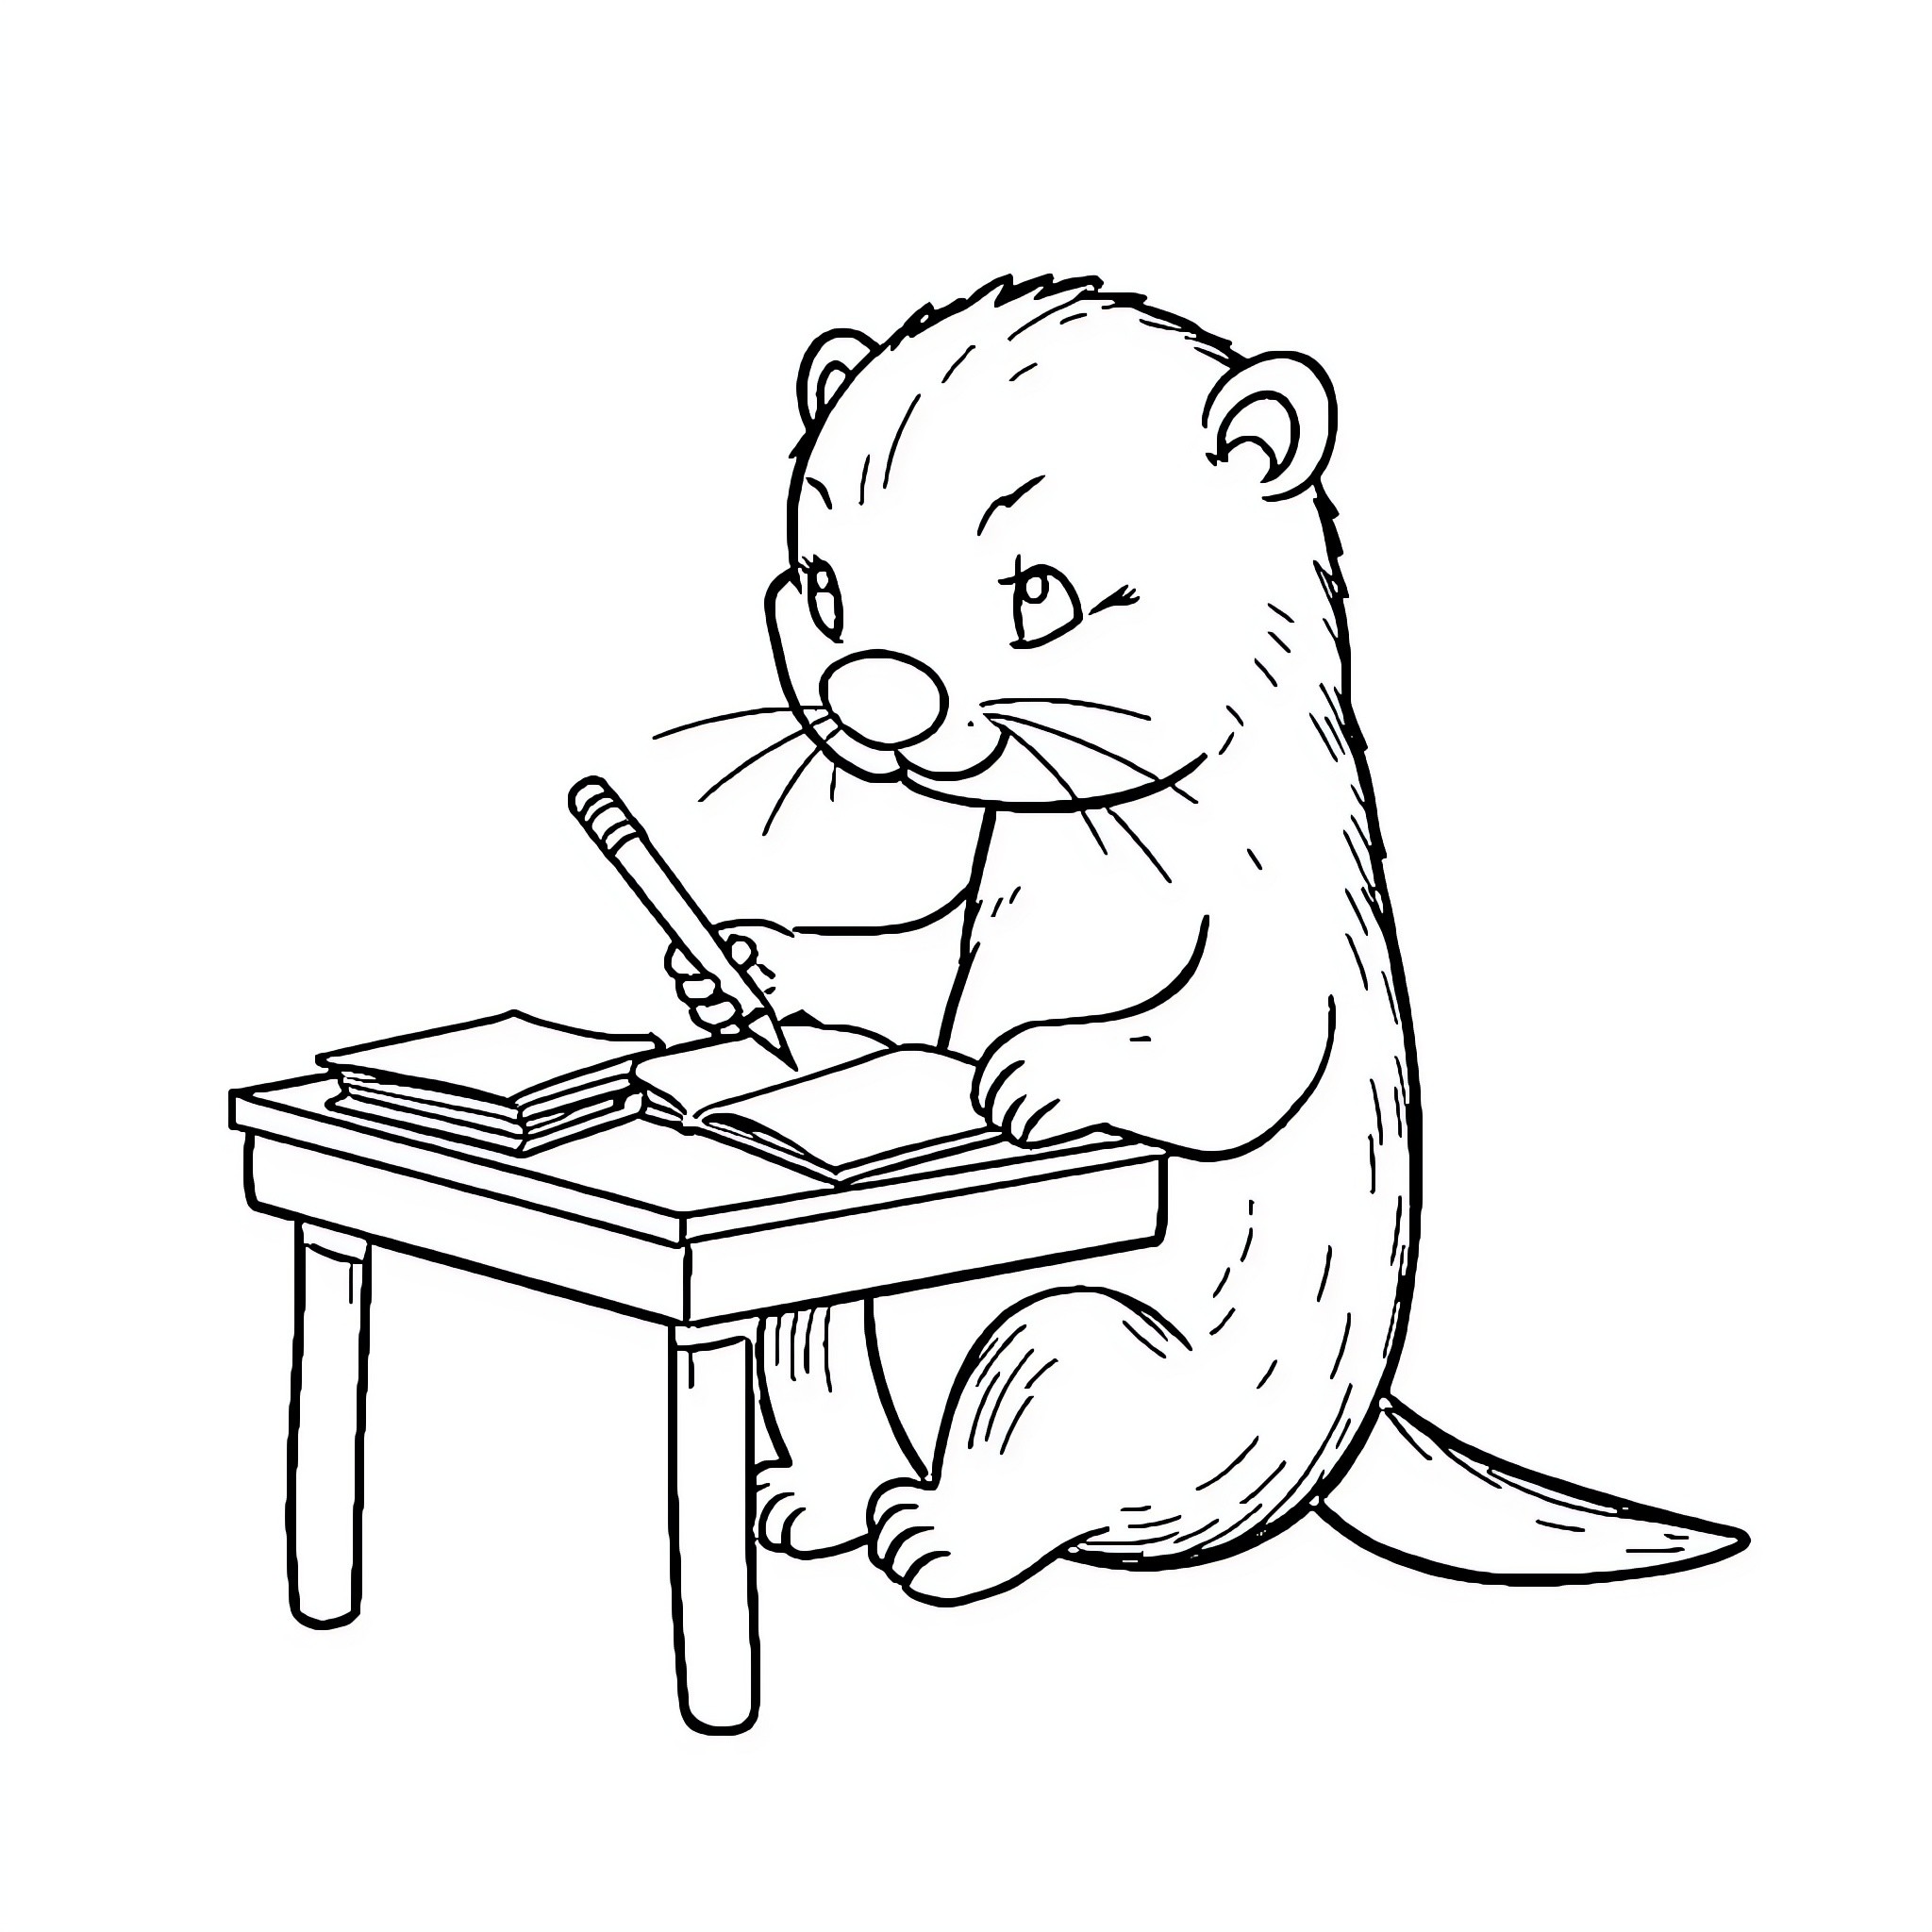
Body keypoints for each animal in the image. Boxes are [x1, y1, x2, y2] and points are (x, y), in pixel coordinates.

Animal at [671, 275, 1746, 1605]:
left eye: (1039, 590)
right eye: (821, 585)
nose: (873, 697)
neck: (1091, 831)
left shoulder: (1286, 915)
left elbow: (1245, 1042)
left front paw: (1030, 1070)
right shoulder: (982, 885)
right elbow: (911, 966)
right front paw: (741, 959)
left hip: (1096, 1358)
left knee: (1035, 1418)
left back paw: (940, 1531)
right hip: (839, 1304)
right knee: (809, 1342)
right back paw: (812, 1500)